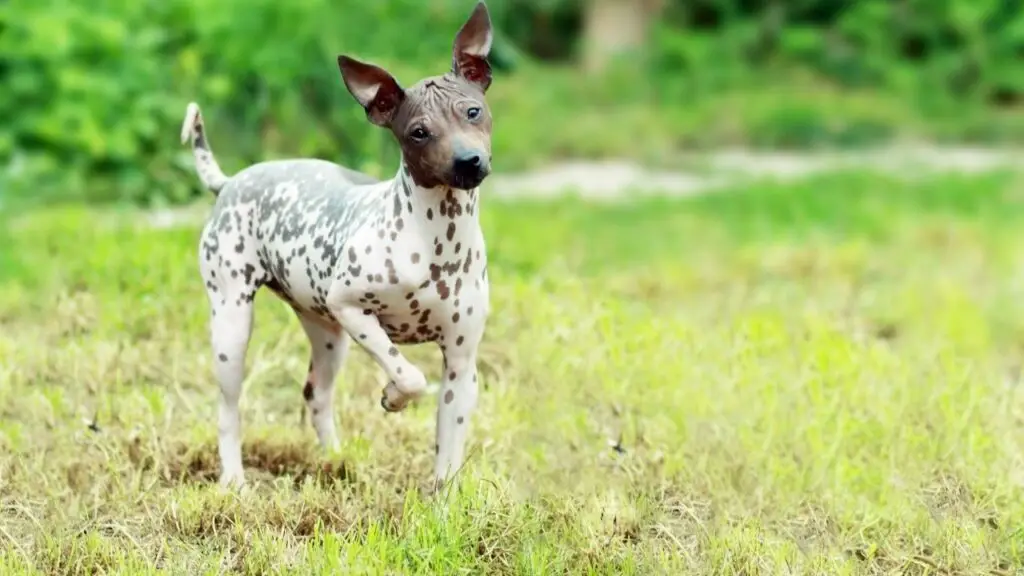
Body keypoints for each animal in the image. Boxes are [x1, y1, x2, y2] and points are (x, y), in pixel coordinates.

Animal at [183, 1, 495, 487]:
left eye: (473, 111)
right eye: (418, 132)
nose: (468, 162)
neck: (437, 241)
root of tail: (231, 180)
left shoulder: (461, 368)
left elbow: (447, 458)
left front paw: (442, 503)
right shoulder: (352, 308)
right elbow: (410, 375)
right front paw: (392, 395)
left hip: (328, 336)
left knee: (316, 394)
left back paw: (336, 460)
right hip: (232, 326)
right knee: (228, 409)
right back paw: (234, 481)